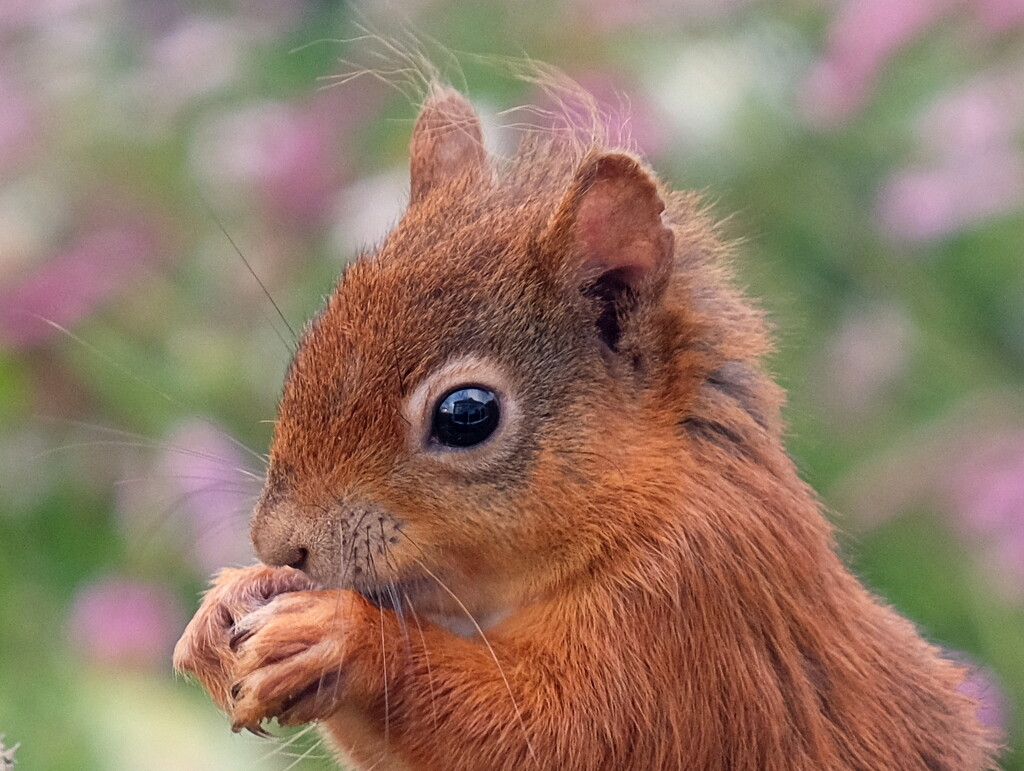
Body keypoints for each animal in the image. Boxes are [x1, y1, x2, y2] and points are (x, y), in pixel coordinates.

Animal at [174, 85, 999, 769]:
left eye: (466, 414)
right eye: (307, 349)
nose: (281, 543)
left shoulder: (689, 613)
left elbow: (552, 733)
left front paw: (341, 637)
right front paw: (226, 604)